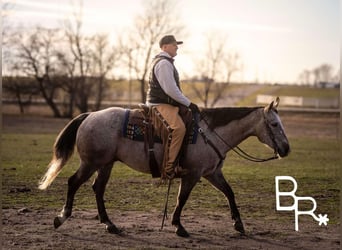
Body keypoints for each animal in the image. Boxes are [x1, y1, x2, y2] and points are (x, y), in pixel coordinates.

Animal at [38, 96, 288, 237]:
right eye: (274, 124)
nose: (286, 149)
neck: (210, 133)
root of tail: (89, 115)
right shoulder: (193, 174)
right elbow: (181, 199)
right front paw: (178, 226)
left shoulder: (212, 173)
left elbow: (229, 193)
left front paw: (239, 224)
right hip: (91, 163)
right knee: (74, 182)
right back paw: (62, 218)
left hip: (105, 164)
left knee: (98, 189)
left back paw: (110, 224)